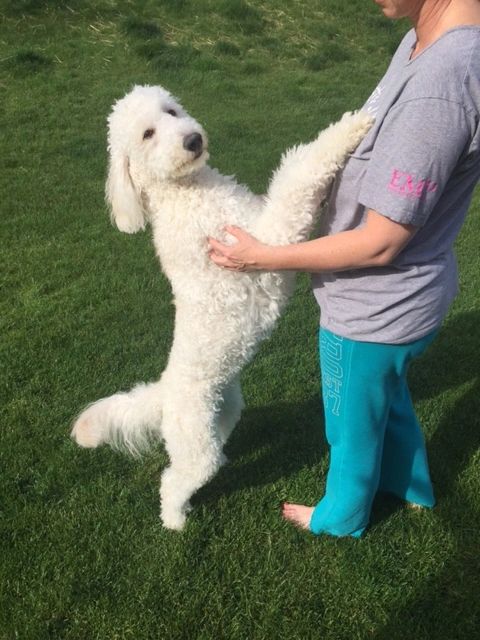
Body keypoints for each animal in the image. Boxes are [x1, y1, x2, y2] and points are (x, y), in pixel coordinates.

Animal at [71, 86, 372, 528]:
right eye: (147, 134)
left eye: (171, 111)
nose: (192, 140)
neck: (188, 191)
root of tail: (163, 393)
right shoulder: (267, 239)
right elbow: (298, 174)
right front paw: (351, 127)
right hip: (194, 445)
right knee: (174, 480)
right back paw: (175, 520)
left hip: (226, 408)